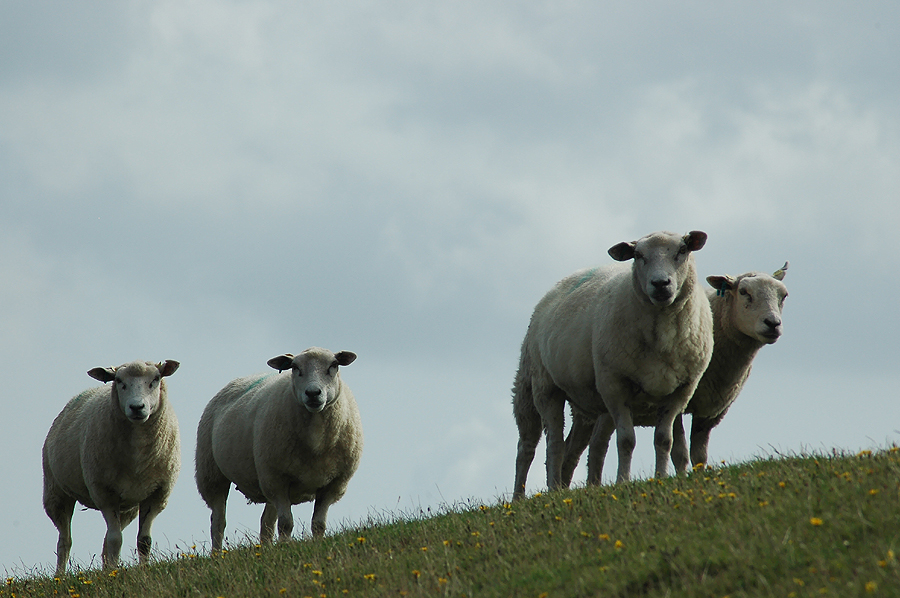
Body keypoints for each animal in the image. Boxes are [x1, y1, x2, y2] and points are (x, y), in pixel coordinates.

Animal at [41, 360, 181, 576]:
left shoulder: (157, 494)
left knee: (106, 539)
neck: (138, 456)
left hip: (128, 507)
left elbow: (144, 541)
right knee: (65, 541)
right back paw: (60, 576)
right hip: (55, 493)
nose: (137, 407)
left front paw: (142, 570)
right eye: (119, 381)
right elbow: (116, 540)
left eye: (156, 379)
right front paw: (113, 573)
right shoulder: (104, 493)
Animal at [196, 346, 362, 552]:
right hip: (212, 474)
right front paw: (285, 547)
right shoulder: (277, 480)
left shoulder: (333, 484)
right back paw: (217, 554)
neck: (316, 438)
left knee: (266, 522)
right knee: (218, 522)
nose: (313, 393)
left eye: (334, 365)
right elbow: (286, 523)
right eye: (295, 367)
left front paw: (316, 544)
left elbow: (318, 524)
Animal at [512, 232, 712, 500]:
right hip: (540, 386)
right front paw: (623, 481)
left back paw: (560, 488)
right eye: (638, 255)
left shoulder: (681, 390)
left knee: (568, 446)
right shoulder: (614, 385)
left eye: (682, 250)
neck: (662, 335)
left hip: (581, 403)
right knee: (539, 445)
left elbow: (664, 439)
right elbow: (626, 440)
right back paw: (529, 494)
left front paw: (661, 477)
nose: (660, 284)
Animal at [564, 264, 788, 488]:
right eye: (744, 292)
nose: (773, 324)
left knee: (579, 446)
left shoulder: (709, 411)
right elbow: (679, 451)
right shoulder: (678, 400)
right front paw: (679, 478)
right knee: (590, 446)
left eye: (783, 295)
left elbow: (699, 454)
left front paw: (699, 477)